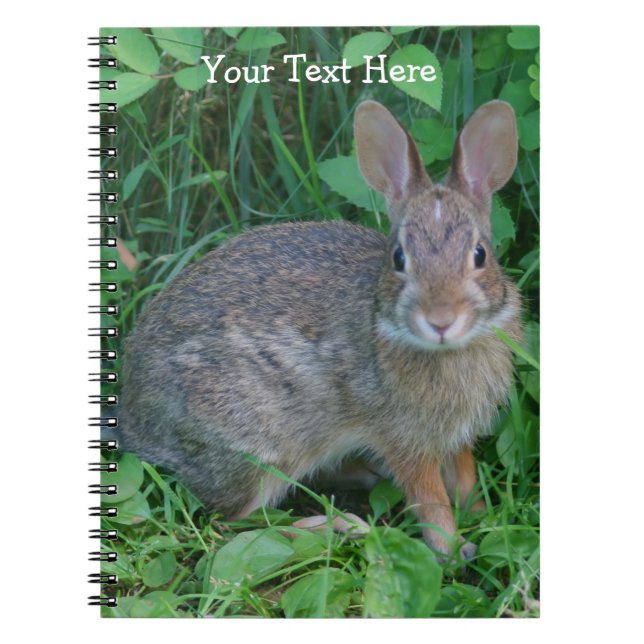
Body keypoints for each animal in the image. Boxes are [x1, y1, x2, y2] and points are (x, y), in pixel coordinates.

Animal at [119, 99, 522, 558]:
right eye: (399, 258)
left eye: (480, 254)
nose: (441, 320)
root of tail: (135, 420)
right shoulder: (403, 438)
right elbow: (430, 498)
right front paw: (451, 548)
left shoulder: (455, 437)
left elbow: (465, 476)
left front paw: (481, 516)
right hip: (259, 446)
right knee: (236, 524)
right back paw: (340, 526)